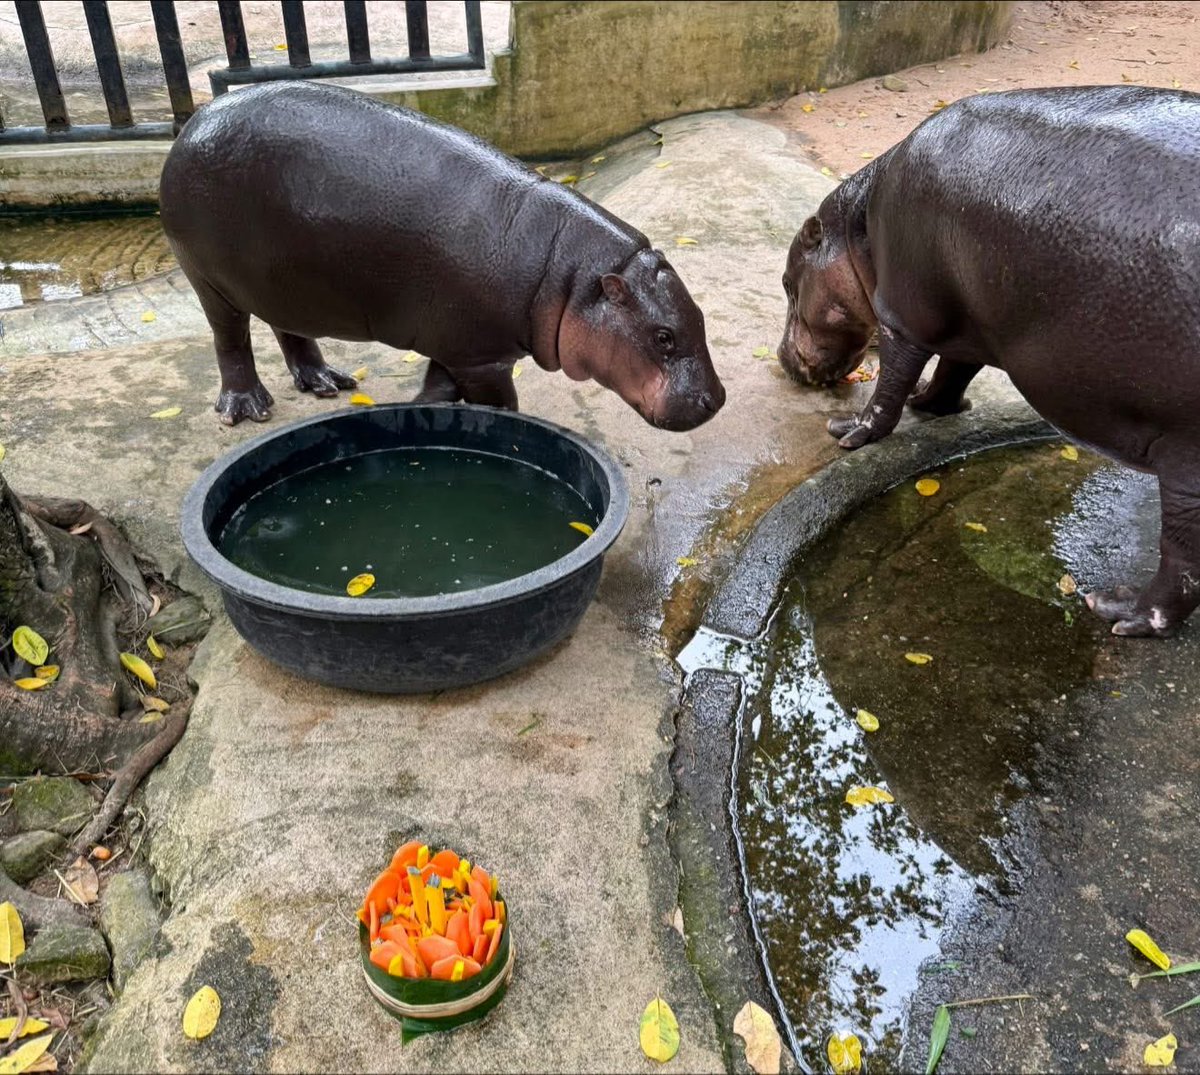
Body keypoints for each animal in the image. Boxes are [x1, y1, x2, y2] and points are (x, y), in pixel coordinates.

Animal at [159, 82, 724, 431]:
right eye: (664, 337)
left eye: (700, 316)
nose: (715, 400)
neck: (571, 278)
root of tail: (192, 123)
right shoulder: (482, 356)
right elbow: (498, 404)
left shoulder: (457, 344)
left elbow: (437, 388)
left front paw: (409, 410)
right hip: (208, 279)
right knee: (230, 339)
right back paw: (247, 408)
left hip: (281, 281)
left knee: (289, 328)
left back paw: (326, 383)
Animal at [779, 86, 1200, 638]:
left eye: (788, 283)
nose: (782, 357)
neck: (856, 226)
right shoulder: (966, 326)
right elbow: (953, 370)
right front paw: (932, 405)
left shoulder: (900, 317)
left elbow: (891, 383)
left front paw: (849, 431)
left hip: (1187, 460)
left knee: (1182, 558)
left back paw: (1118, 611)